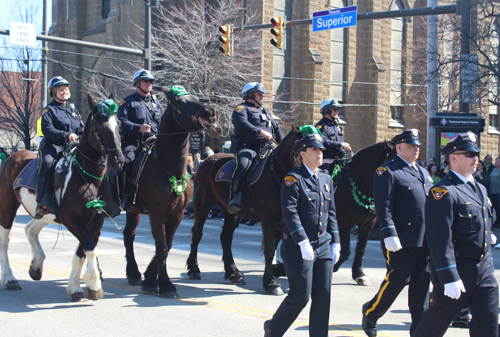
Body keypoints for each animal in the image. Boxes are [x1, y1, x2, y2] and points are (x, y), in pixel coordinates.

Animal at [122, 87, 216, 296]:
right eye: (180, 103)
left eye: (197, 98)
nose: (210, 112)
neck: (170, 167)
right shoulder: (157, 214)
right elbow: (162, 247)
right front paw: (165, 284)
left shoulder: (177, 214)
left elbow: (167, 245)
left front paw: (150, 279)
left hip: (133, 211)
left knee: (128, 235)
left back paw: (133, 272)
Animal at [187, 125, 300, 294]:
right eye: (296, 150)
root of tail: (205, 161)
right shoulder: (269, 220)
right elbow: (269, 249)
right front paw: (271, 283)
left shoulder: (282, 222)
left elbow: (273, 248)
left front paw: (271, 277)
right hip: (202, 205)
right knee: (197, 234)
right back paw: (194, 269)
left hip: (231, 213)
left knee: (225, 238)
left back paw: (233, 273)